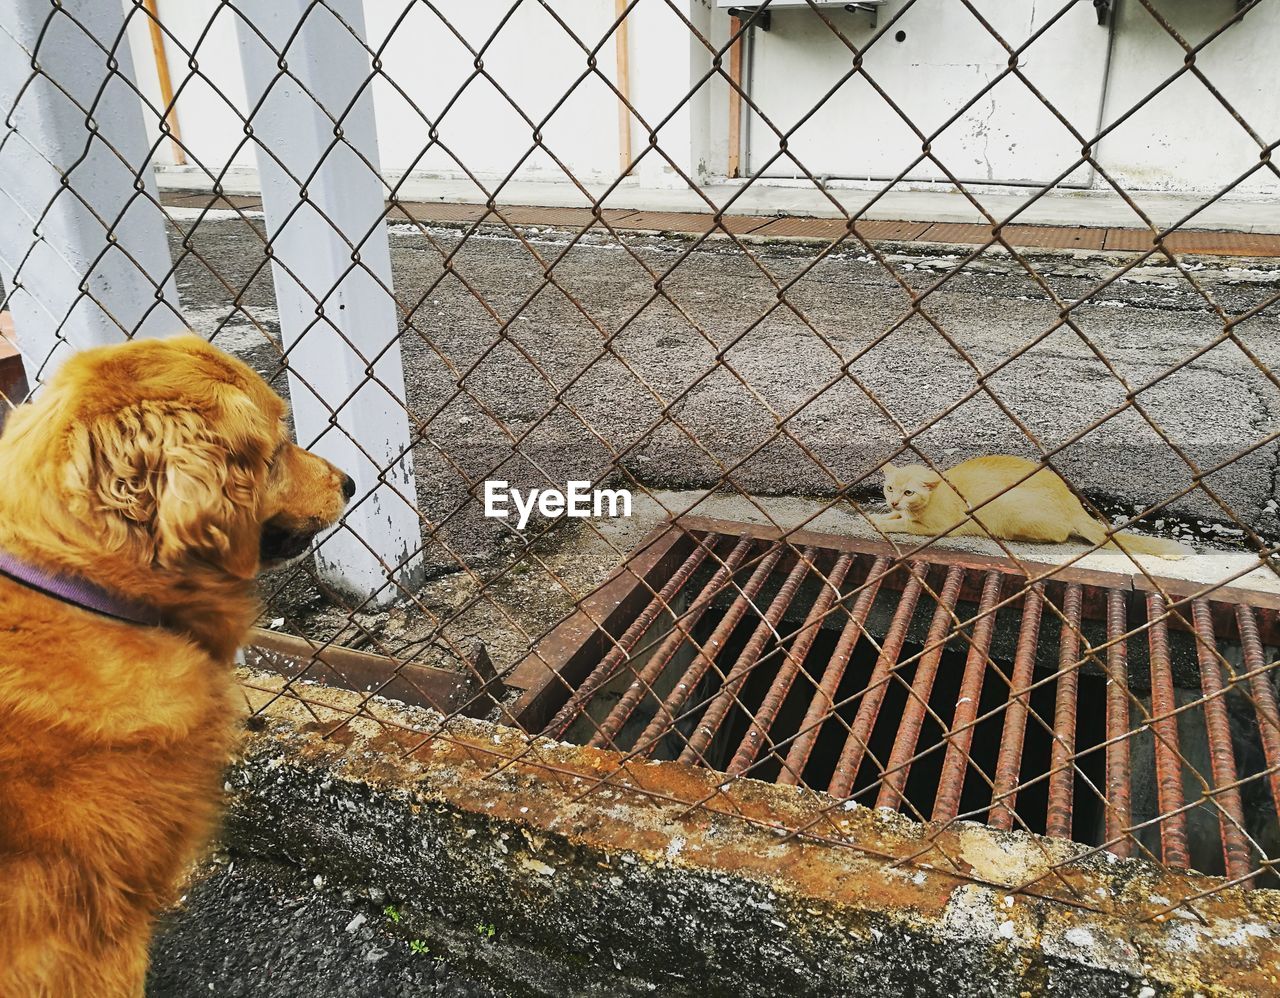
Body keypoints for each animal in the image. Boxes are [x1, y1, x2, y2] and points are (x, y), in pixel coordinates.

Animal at [870, 452, 1187, 557]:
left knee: (1060, 535)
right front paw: (883, 514)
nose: (894, 500)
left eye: (909, 492)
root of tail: (1074, 504)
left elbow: (904, 524)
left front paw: (878, 521)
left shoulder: (938, 526)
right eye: (889, 488)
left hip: (1009, 504)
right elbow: (895, 517)